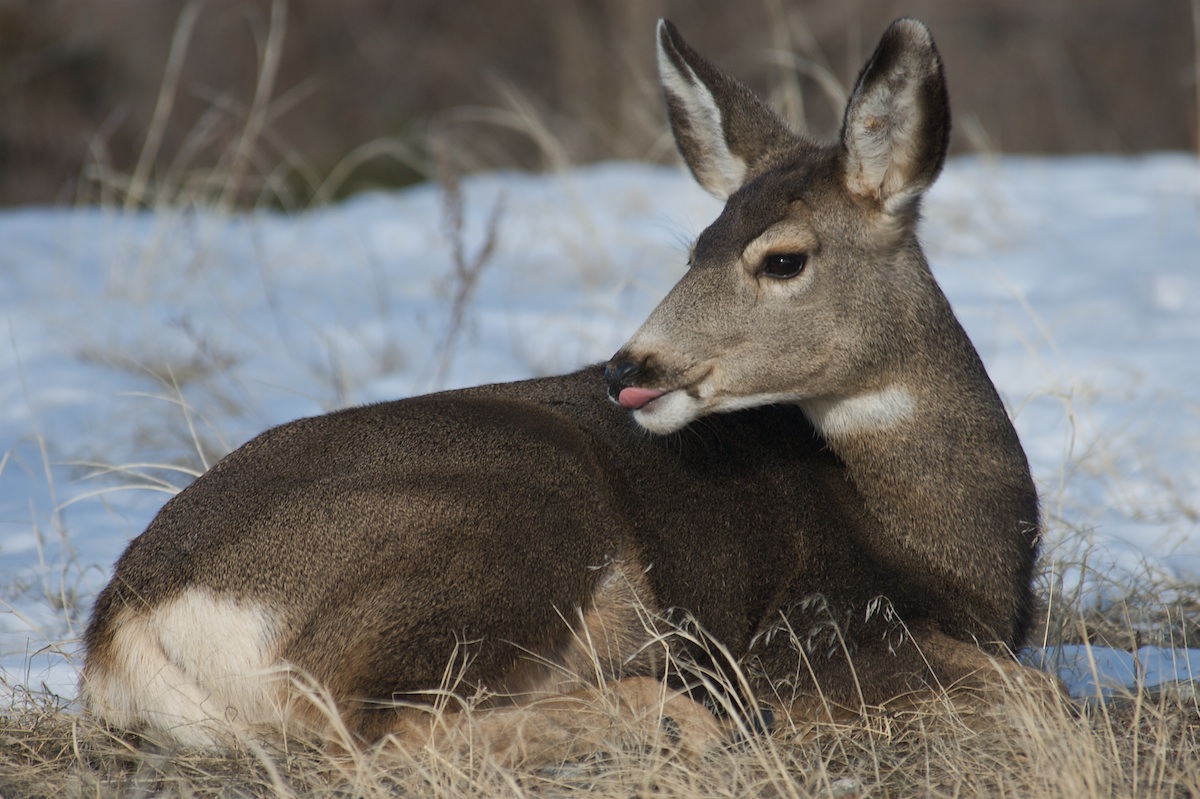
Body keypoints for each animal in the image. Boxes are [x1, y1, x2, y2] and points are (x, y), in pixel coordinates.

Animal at [82, 18, 1054, 763]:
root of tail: (124, 618)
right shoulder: (801, 627)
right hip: (505, 521)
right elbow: (1036, 696)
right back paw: (675, 718)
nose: (631, 368)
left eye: (782, 258)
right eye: (696, 246)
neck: (944, 541)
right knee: (383, 729)